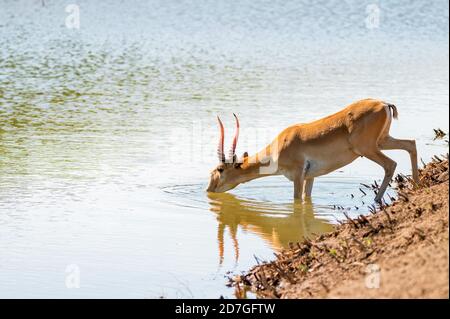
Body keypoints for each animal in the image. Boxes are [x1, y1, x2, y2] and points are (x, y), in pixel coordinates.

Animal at [206, 98, 420, 202]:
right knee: (411, 144)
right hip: (382, 141)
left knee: (390, 164)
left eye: (219, 170)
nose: (209, 190)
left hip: (367, 149)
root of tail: (383, 103)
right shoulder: (311, 177)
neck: (279, 147)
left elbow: (296, 200)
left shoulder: (298, 175)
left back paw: (376, 200)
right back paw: (417, 186)